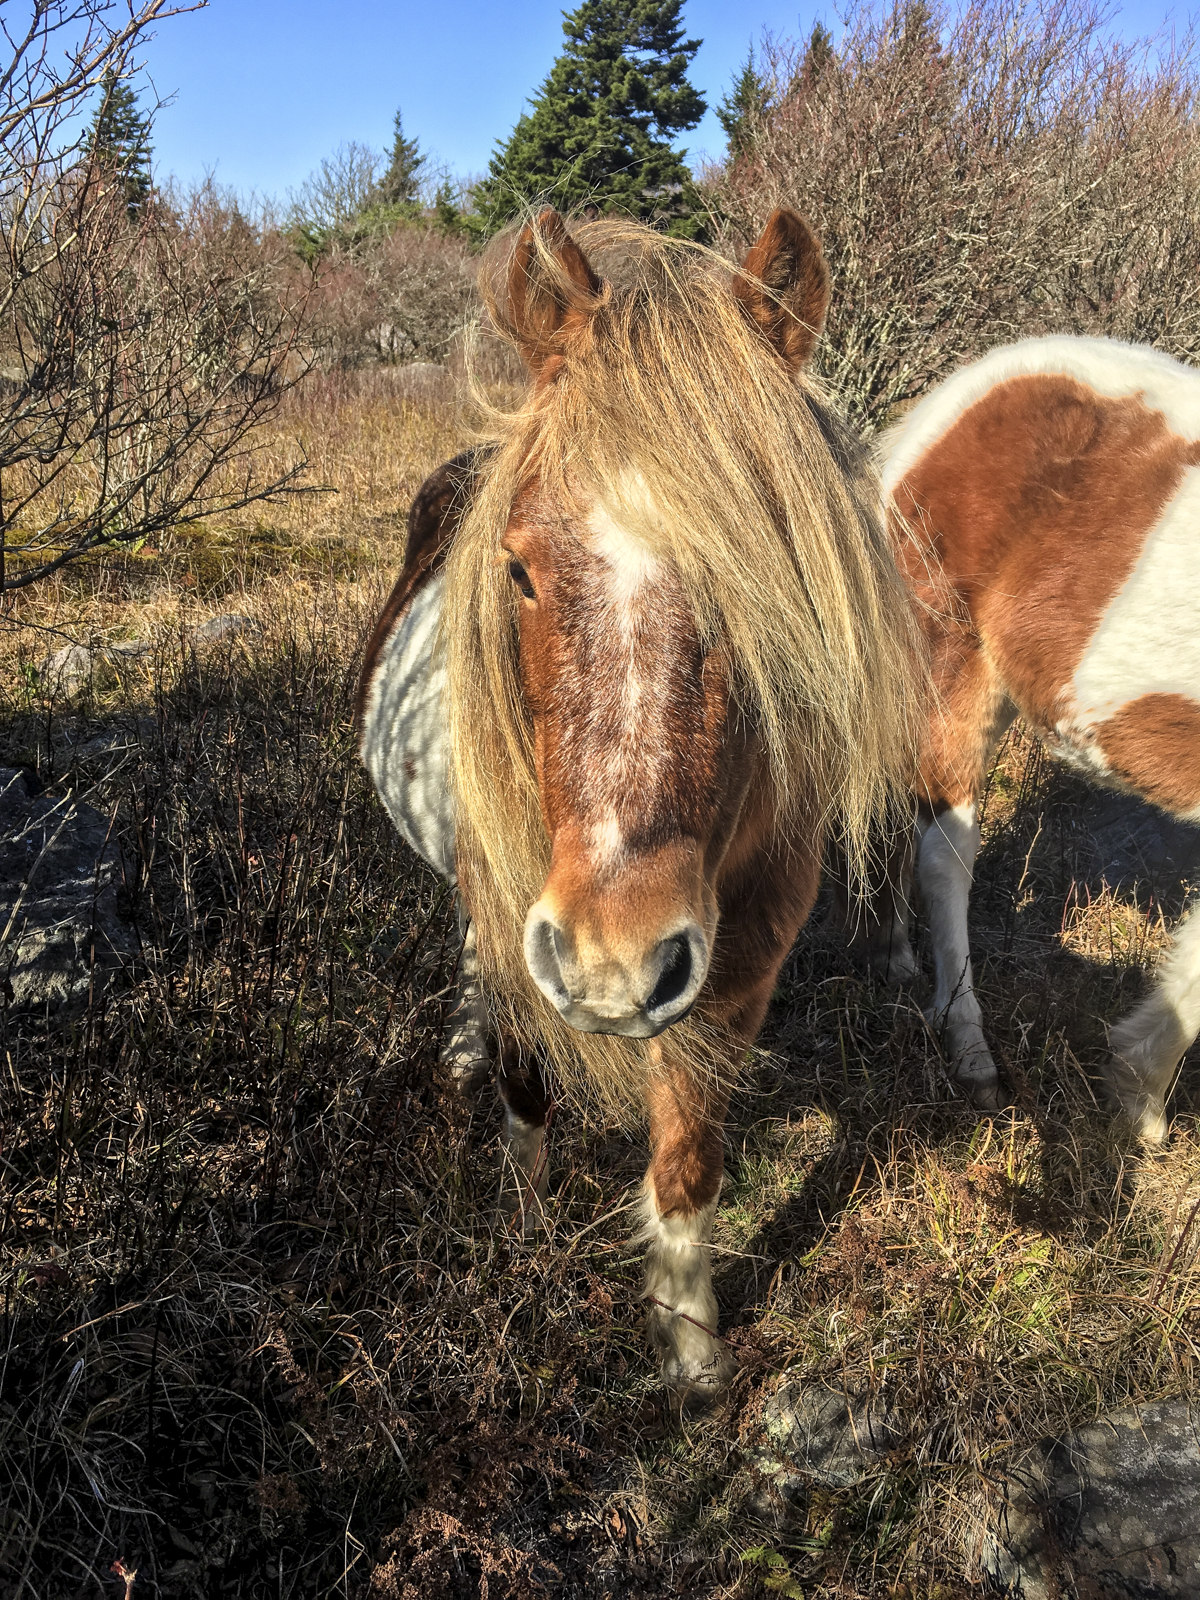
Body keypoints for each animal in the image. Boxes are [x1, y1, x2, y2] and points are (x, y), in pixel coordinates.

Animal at [357, 207, 922, 1397]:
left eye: (768, 571)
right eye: (518, 569)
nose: (610, 960)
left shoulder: (741, 960)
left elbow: (689, 1155)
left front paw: (692, 1348)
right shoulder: (521, 929)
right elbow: (528, 1086)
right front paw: (526, 1246)